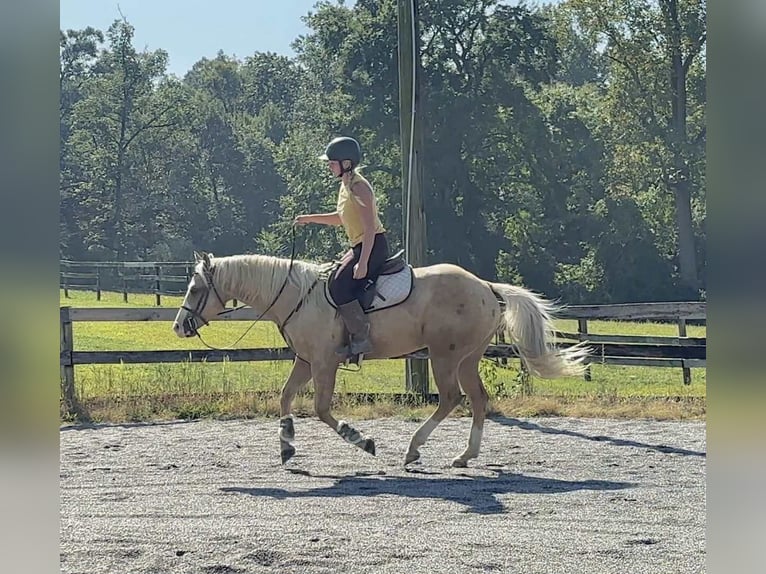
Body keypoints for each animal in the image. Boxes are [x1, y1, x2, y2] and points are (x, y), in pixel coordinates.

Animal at [172, 251, 588, 467]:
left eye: (194, 288)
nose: (179, 325)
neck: (298, 296)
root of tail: (486, 286)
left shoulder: (324, 363)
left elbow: (322, 410)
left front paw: (362, 440)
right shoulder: (305, 361)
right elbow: (286, 397)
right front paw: (287, 445)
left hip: (444, 356)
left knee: (451, 398)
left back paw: (414, 449)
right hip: (467, 358)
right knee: (477, 399)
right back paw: (464, 455)